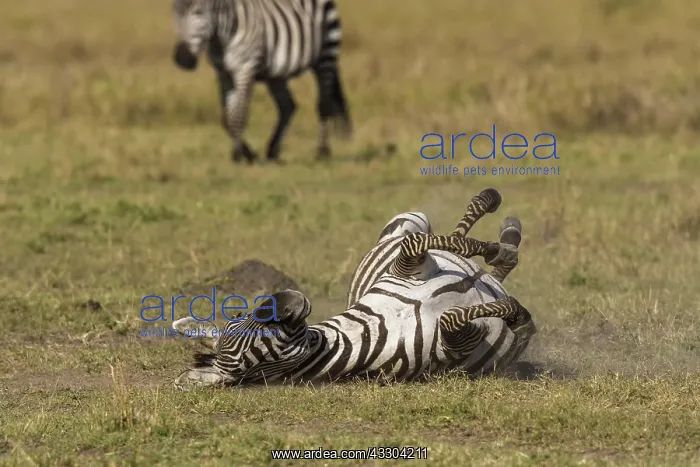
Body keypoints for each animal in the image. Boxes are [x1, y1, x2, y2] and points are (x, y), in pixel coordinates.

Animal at [171, 0, 352, 164]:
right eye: (175, 14)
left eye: (198, 12)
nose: (182, 59)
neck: (223, 36)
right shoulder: (223, 75)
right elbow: (227, 119)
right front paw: (247, 154)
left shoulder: (246, 70)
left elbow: (239, 115)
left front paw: (239, 156)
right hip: (276, 75)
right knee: (288, 106)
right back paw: (273, 151)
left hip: (326, 56)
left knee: (324, 104)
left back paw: (322, 152)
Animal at [171, 188, 537, 389]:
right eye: (252, 349)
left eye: (243, 316)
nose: (283, 299)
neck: (363, 329)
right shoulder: (453, 346)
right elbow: (456, 318)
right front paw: (517, 315)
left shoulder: (408, 264)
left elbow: (425, 243)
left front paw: (495, 250)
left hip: (408, 221)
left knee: (453, 236)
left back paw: (500, 231)